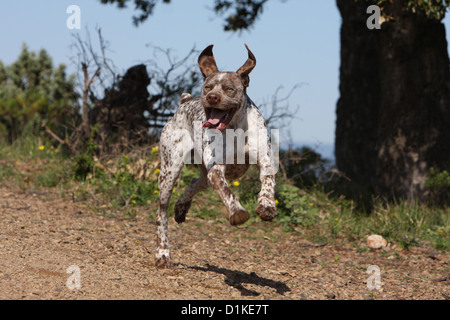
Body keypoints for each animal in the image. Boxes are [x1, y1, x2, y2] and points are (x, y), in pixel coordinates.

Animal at [156, 43, 278, 268]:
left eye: (229, 88)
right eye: (208, 87)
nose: (212, 97)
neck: (235, 127)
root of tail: (184, 101)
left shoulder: (264, 159)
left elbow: (268, 180)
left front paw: (266, 205)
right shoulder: (216, 170)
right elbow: (226, 191)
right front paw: (237, 212)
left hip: (201, 174)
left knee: (195, 181)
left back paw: (182, 207)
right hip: (169, 172)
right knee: (162, 214)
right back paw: (162, 253)